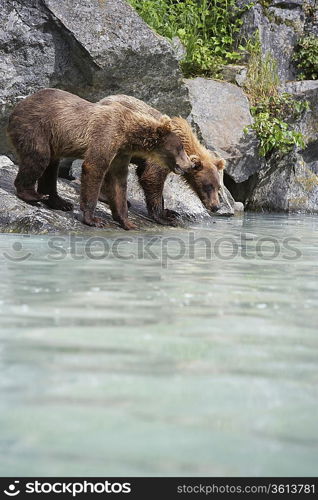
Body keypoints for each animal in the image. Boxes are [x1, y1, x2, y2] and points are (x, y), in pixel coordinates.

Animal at [7, 89, 193, 229]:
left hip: (53, 138)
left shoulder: (121, 153)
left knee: (51, 167)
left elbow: (118, 182)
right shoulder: (106, 135)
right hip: (37, 126)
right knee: (39, 157)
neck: (128, 135)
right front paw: (94, 219)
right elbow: (94, 168)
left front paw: (127, 222)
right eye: (180, 148)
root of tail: (20, 103)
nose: (189, 164)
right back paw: (32, 195)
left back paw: (59, 202)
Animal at [98, 95, 225, 225]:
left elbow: (144, 173)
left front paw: (170, 212)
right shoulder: (164, 152)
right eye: (208, 186)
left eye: (218, 187)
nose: (216, 206)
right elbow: (152, 177)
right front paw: (164, 217)